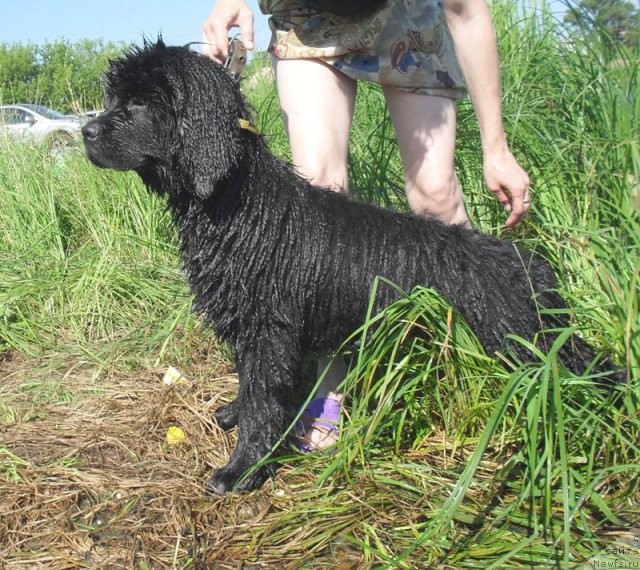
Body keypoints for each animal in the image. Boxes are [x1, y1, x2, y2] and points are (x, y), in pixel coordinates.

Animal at [82, 41, 624, 492]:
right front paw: (234, 415)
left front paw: (242, 469)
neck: (240, 205)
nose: (85, 132)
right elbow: (248, 383)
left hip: (522, 339)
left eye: (140, 103)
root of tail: (529, 264)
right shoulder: (248, 322)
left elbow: (263, 396)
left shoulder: (268, 327)